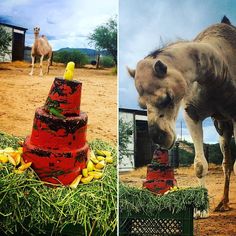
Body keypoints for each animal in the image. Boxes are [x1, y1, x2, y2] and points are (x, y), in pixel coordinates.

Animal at [128, 16, 236, 212]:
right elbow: (200, 165)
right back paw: (222, 203)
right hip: (222, 125)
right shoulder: (191, 113)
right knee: (226, 161)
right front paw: (200, 210)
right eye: (141, 105)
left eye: (168, 97)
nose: (160, 138)